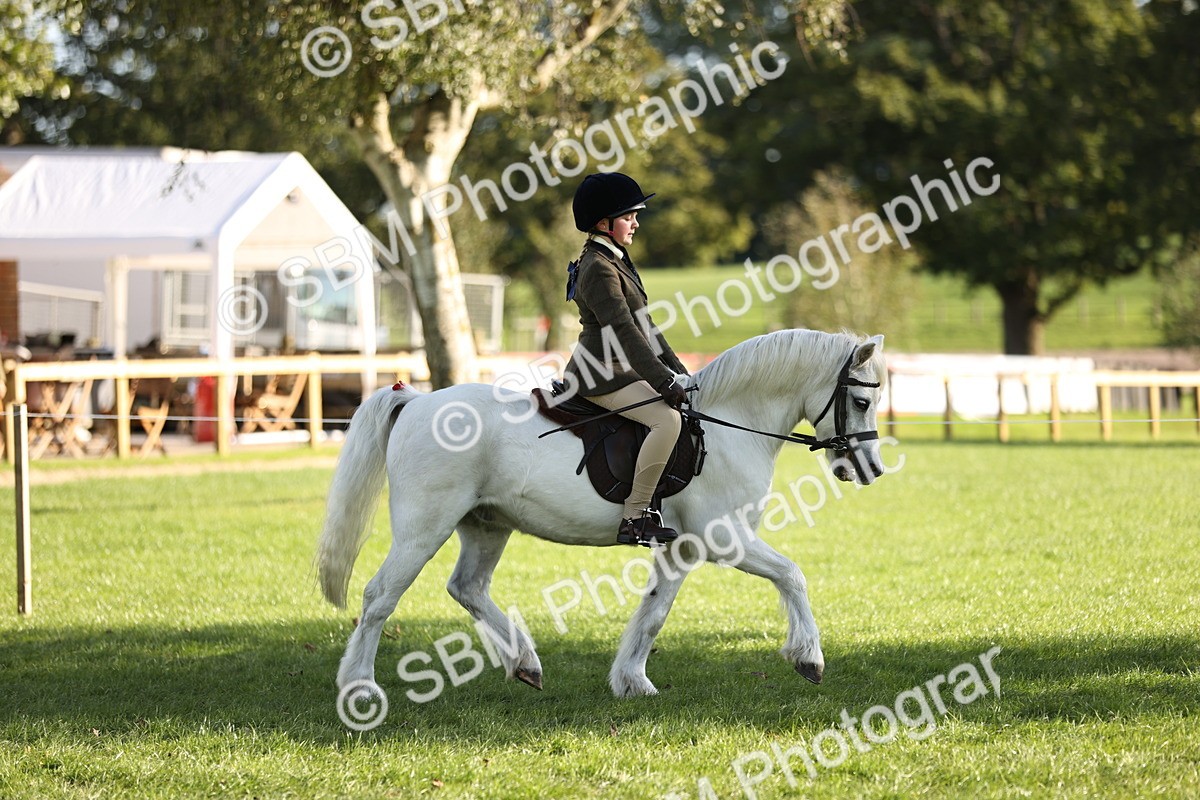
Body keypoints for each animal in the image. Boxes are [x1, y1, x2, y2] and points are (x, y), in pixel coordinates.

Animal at [317, 329, 887, 699]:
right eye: (861, 401)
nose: (871, 469)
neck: (729, 425)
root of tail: (415, 402)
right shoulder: (725, 540)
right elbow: (792, 574)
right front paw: (809, 658)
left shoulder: (681, 550)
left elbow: (654, 613)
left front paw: (632, 681)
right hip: (423, 529)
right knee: (379, 598)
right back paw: (361, 688)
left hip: (486, 525)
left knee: (468, 588)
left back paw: (525, 664)